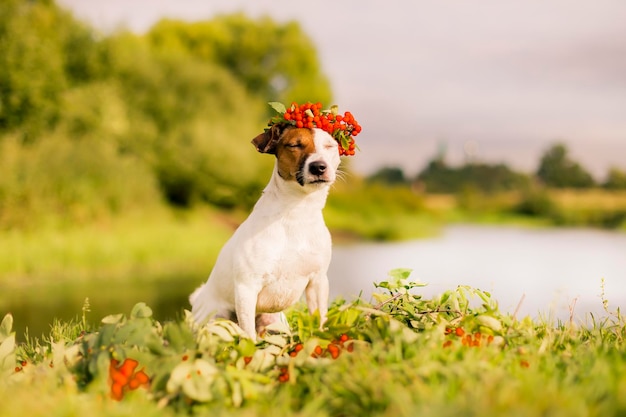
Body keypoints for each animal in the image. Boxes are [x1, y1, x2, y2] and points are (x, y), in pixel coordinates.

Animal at [188, 123, 338, 338]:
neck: (296, 212)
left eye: (329, 146)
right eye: (295, 145)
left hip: (274, 321)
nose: (319, 166)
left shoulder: (317, 281)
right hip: (218, 318)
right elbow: (248, 335)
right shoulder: (247, 288)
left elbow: (320, 319)